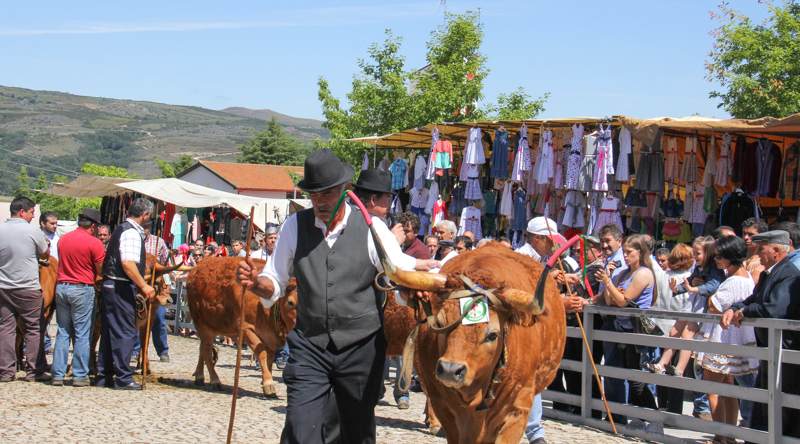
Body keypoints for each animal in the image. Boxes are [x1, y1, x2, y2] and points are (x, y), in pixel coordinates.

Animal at [187, 258, 296, 398]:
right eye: (290, 302)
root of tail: (200, 265)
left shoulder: (269, 337)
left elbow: (269, 359)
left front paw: (265, 381)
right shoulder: (246, 328)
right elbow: (261, 353)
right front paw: (268, 384)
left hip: (213, 327)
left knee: (202, 349)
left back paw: (199, 376)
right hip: (201, 324)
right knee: (206, 351)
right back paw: (215, 380)